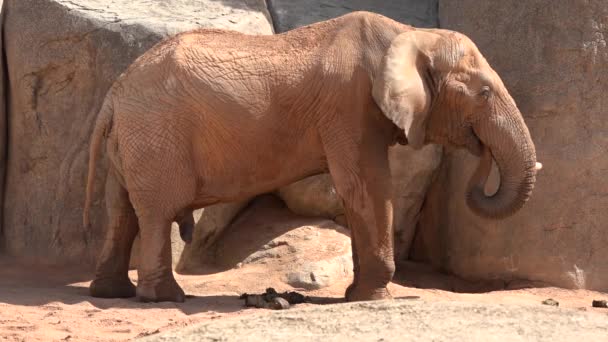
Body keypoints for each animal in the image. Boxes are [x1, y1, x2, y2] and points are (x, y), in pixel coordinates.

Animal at [82, 12, 540, 304]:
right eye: (484, 93)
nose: (480, 151)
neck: (410, 33)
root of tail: (114, 94)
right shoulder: (348, 105)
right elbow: (367, 185)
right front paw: (373, 297)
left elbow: (360, 192)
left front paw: (359, 295)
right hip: (156, 135)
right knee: (156, 213)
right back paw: (165, 298)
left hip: (132, 141)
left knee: (121, 211)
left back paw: (112, 293)